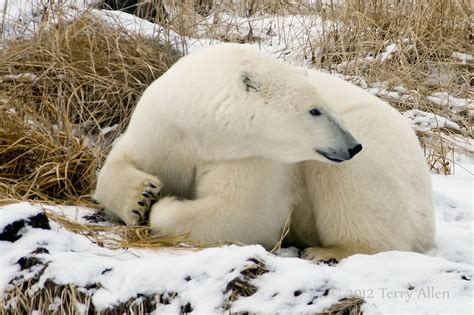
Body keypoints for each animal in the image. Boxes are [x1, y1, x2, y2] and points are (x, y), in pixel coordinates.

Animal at [94, 44, 436, 262]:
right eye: (315, 110)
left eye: (327, 107)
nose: (353, 145)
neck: (203, 127)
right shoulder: (164, 126)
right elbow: (122, 161)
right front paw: (140, 197)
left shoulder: (251, 157)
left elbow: (244, 213)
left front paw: (165, 204)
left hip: (378, 153)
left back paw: (327, 252)